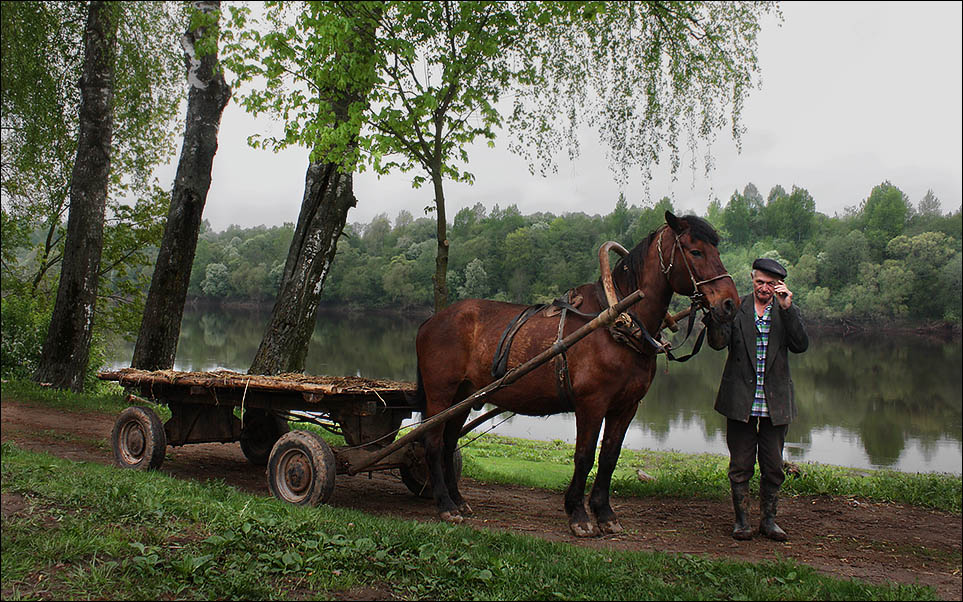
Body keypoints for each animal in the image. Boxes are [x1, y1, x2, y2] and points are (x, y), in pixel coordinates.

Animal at [412, 211, 740, 536]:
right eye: (695, 251)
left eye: (716, 249)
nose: (729, 303)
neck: (617, 322)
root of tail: (430, 321)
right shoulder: (591, 404)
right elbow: (584, 456)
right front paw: (578, 514)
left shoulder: (626, 407)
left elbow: (609, 457)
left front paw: (605, 513)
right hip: (441, 394)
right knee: (433, 443)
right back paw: (445, 505)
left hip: (463, 395)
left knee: (449, 442)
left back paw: (458, 500)